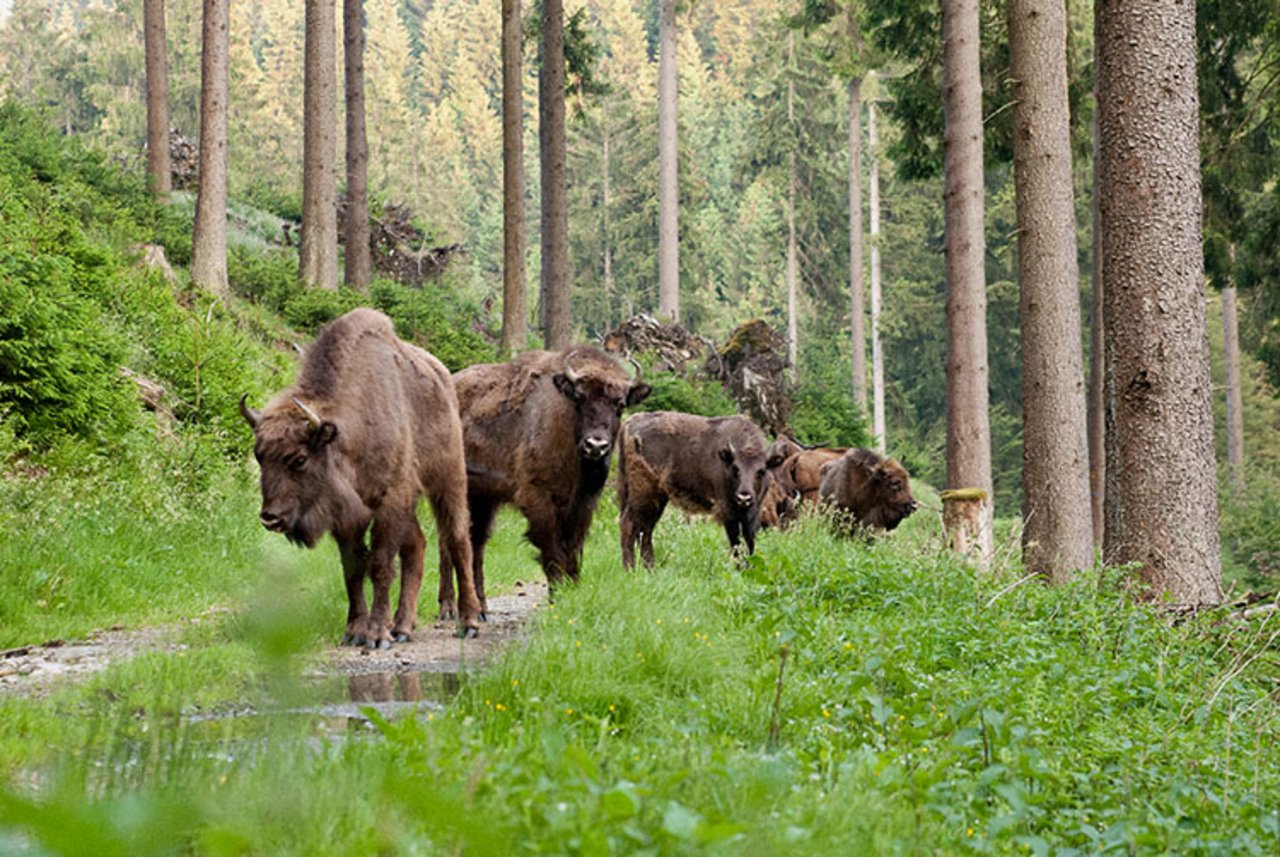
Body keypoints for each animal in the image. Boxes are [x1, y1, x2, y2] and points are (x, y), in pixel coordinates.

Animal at [240, 306, 481, 644]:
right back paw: (403, 626)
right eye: (259, 456)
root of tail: (444, 379)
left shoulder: (389, 502)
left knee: (458, 541)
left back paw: (469, 621)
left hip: (449, 481)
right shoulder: (347, 517)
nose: (271, 518)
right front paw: (355, 630)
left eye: (300, 459)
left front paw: (377, 634)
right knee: (417, 546)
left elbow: (380, 564)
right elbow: (353, 568)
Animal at [440, 345, 655, 611]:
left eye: (620, 404)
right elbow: (552, 551)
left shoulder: (582, 506)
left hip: (483, 498)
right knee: (448, 542)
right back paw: (448, 607)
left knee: (476, 542)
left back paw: (481, 608)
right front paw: (558, 595)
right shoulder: (539, 499)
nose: (596, 445)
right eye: (580, 398)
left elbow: (573, 549)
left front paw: (573, 590)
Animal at [614, 411, 783, 570]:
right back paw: (630, 568)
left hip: (656, 499)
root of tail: (628, 424)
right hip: (643, 495)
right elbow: (736, 543)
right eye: (735, 468)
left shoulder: (752, 512)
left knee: (645, 530)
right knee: (630, 524)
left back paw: (650, 568)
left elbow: (749, 542)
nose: (744, 497)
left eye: (761, 471)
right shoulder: (728, 511)